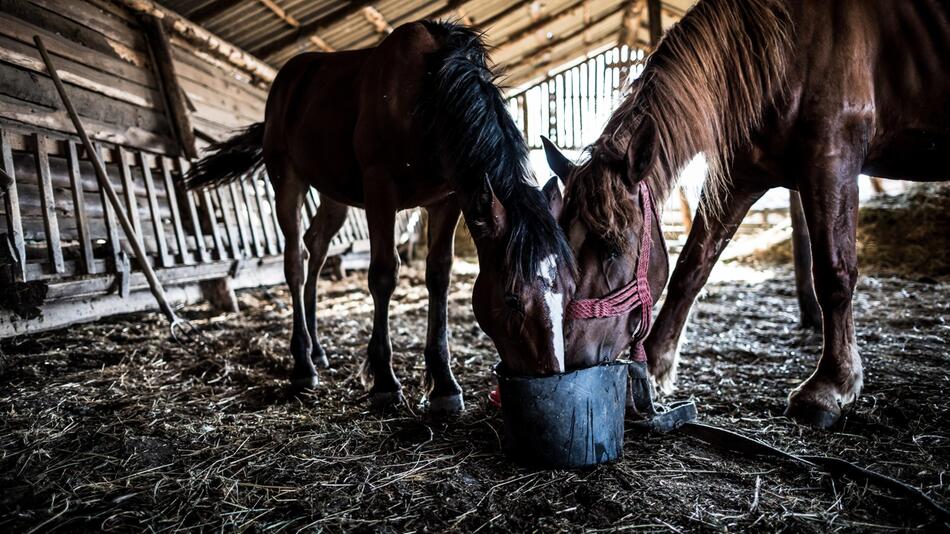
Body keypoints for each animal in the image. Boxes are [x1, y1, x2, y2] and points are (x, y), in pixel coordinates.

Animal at [185, 21, 572, 414]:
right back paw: (303, 364)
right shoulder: (380, 191)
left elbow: (439, 276)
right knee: (295, 260)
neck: (429, 93)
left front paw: (444, 384)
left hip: (333, 194)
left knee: (316, 247)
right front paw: (384, 380)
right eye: (511, 299)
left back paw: (318, 350)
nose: (550, 374)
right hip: (287, 181)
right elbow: (384, 275)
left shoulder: (447, 200)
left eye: (571, 290)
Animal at [548, 0, 948, 430]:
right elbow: (691, 268)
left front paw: (829, 387)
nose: (570, 358)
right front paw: (655, 369)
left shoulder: (833, 158)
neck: (787, 48)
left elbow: (833, 274)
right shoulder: (741, 178)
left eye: (612, 248)